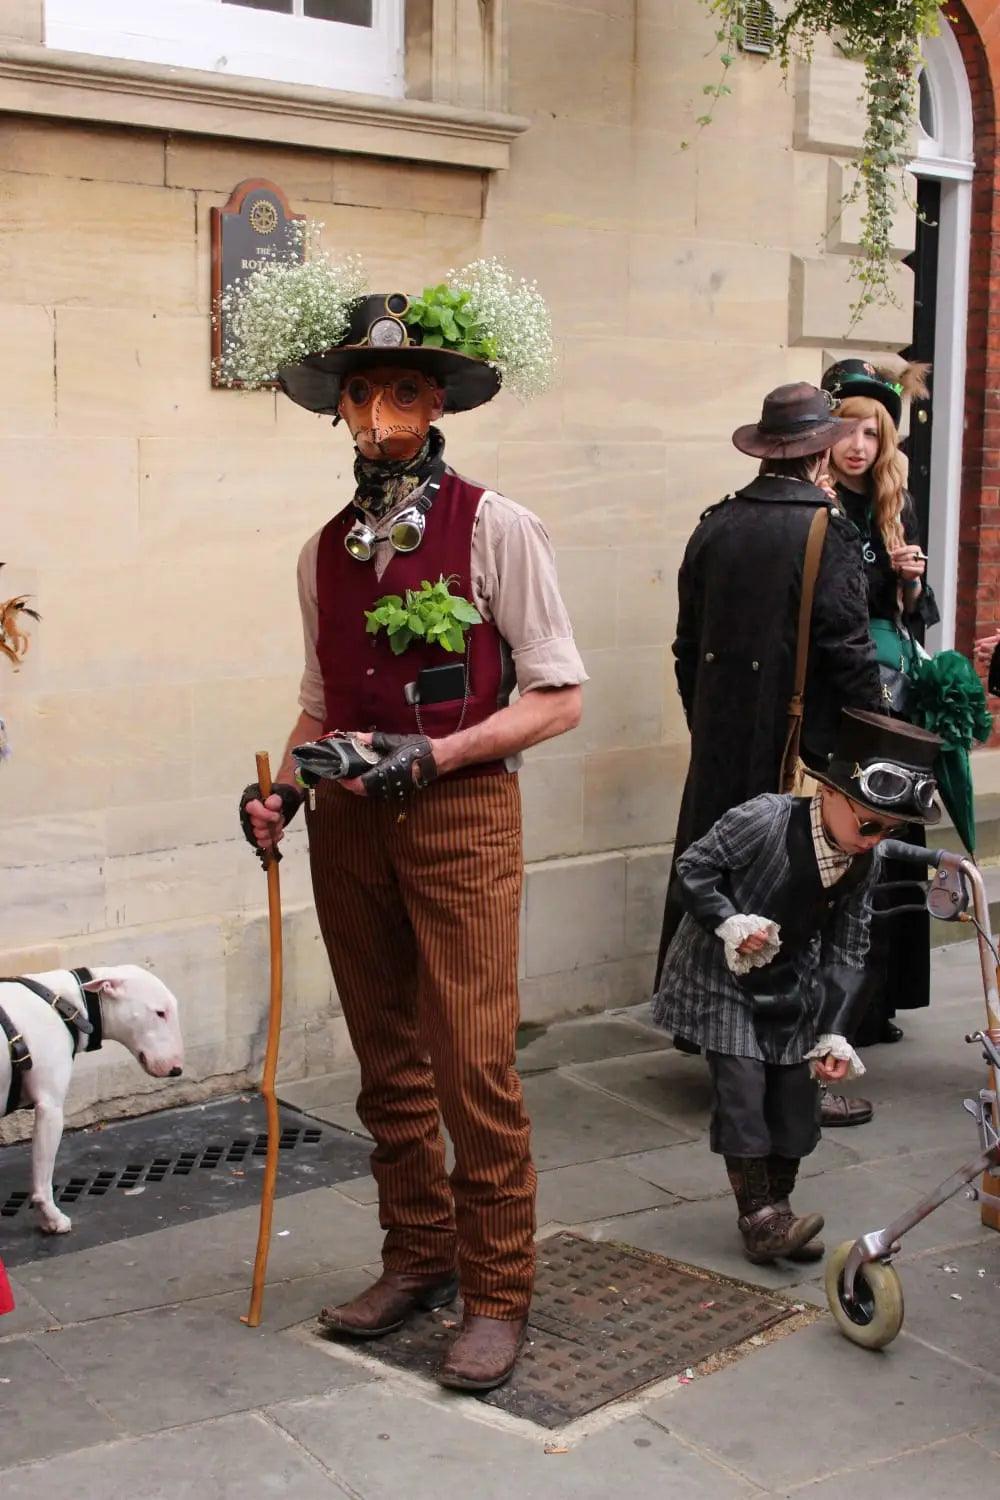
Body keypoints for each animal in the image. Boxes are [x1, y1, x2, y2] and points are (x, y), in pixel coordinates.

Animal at [0, 966, 183, 1236]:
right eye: (160, 1013)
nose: (177, 1069)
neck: (68, 1003)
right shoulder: (50, 1107)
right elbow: (43, 1177)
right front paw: (51, 1218)